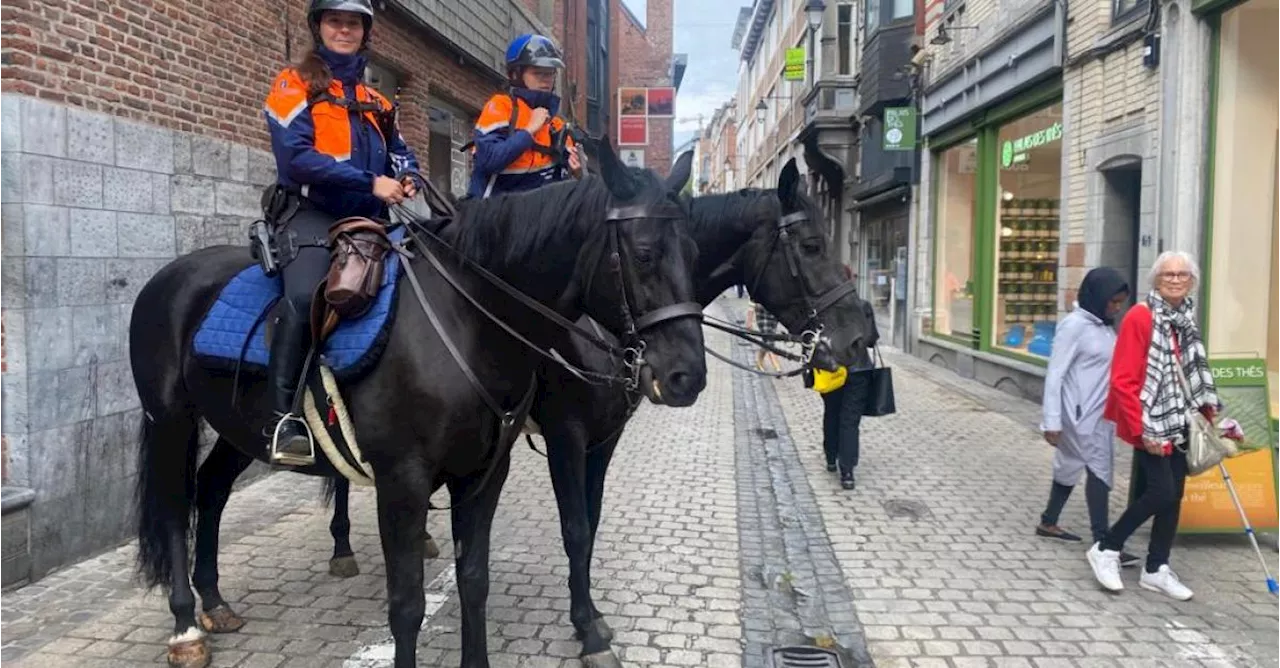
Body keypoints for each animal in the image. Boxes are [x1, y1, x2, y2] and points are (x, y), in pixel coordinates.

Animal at [132, 141, 711, 665]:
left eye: (694, 251)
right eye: (644, 253)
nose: (688, 376)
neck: (465, 319)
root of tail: (170, 277)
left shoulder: (483, 475)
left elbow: (474, 581)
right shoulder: (406, 482)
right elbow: (408, 606)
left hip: (237, 429)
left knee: (210, 491)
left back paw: (214, 602)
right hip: (171, 422)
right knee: (173, 510)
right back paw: (186, 628)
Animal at [320, 158, 880, 660]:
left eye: (693, 251)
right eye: (812, 246)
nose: (860, 338)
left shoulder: (602, 440)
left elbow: (589, 523)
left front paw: (589, 617)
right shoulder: (566, 435)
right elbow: (576, 528)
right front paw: (588, 633)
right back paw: (342, 546)